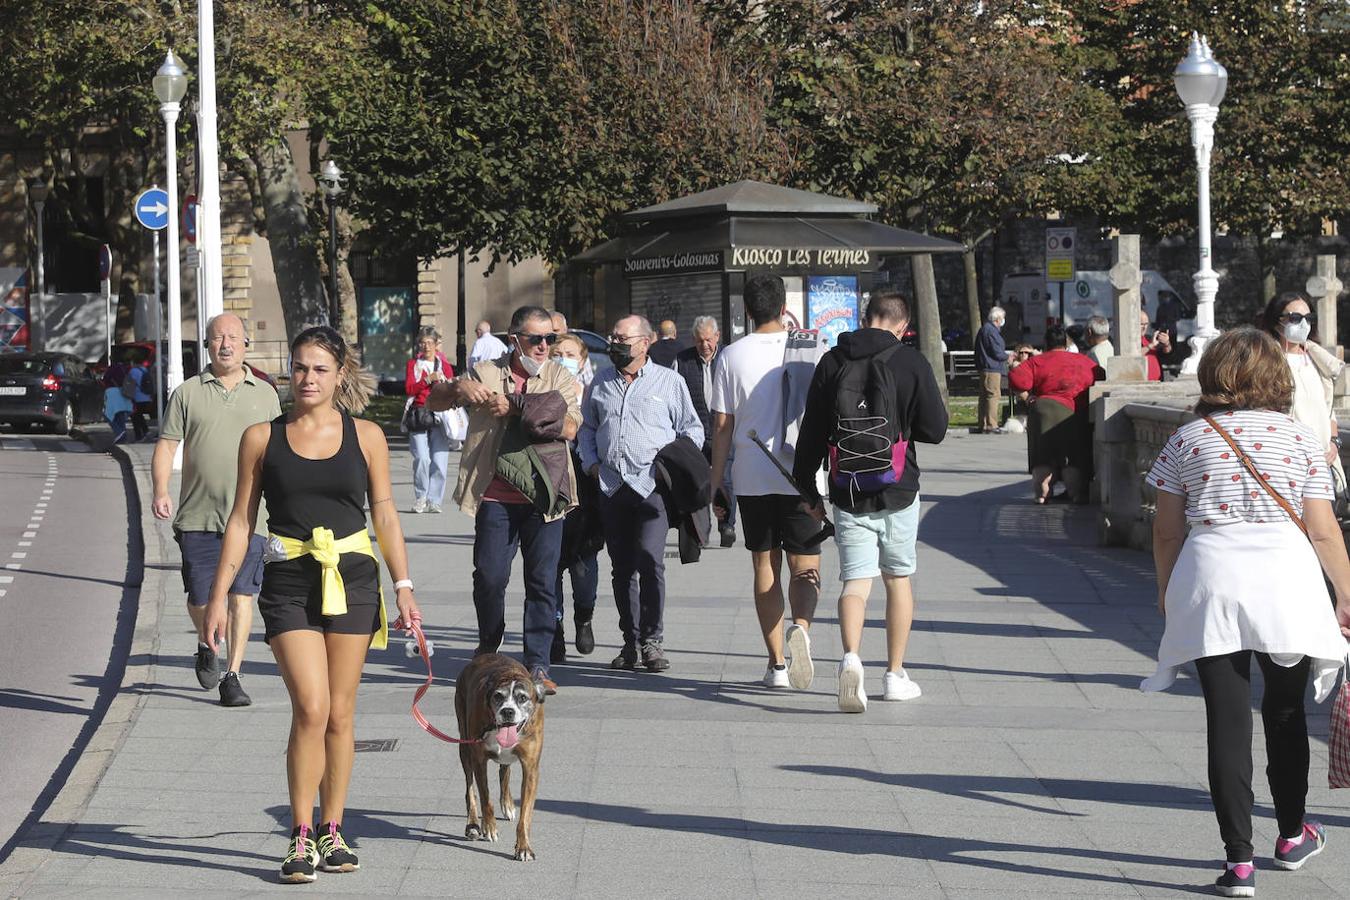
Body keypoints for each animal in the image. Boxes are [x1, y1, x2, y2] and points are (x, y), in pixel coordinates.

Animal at [456, 655, 545, 858]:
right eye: (498, 696)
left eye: (523, 698)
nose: (507, 711)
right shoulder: (479, 760)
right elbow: (485, 797)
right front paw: (489, 827)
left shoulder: (531, 768)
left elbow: (526, 813)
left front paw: (523, 847)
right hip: (464, 747)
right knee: (470, 788)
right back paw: (473, 824)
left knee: (505, 772)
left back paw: (507, 804)